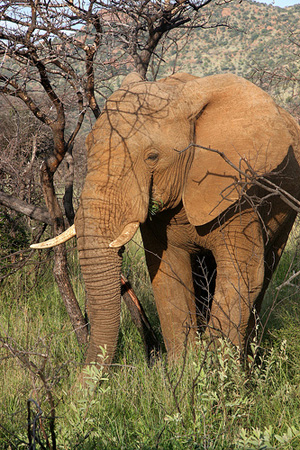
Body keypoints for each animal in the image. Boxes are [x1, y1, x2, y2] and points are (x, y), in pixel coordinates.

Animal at [31, 73, 300, 370]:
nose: (80, 380)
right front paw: (184, 369)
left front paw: (215, 371)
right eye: (87, 147)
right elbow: (168, 274)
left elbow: (241, 276)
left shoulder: (240, 190)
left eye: (152, 157)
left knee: (266, 267)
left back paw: (250, 360)